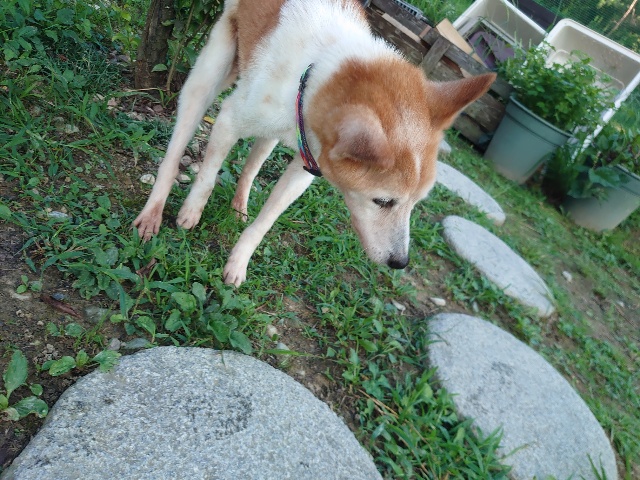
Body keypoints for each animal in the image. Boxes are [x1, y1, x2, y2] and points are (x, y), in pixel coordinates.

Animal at [133, 0, 495, 286]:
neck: (317, 68)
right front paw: (191, 212)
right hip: (211, 73)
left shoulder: (306, 167)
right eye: (382, 201)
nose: (400, 263)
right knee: (179, 144)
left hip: (270, 133)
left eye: (416, 203)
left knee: (253, 165)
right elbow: (207, 178)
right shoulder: (228, 120)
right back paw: (153, 212)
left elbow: (265, 222)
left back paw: (239, 206)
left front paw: (239, 261)